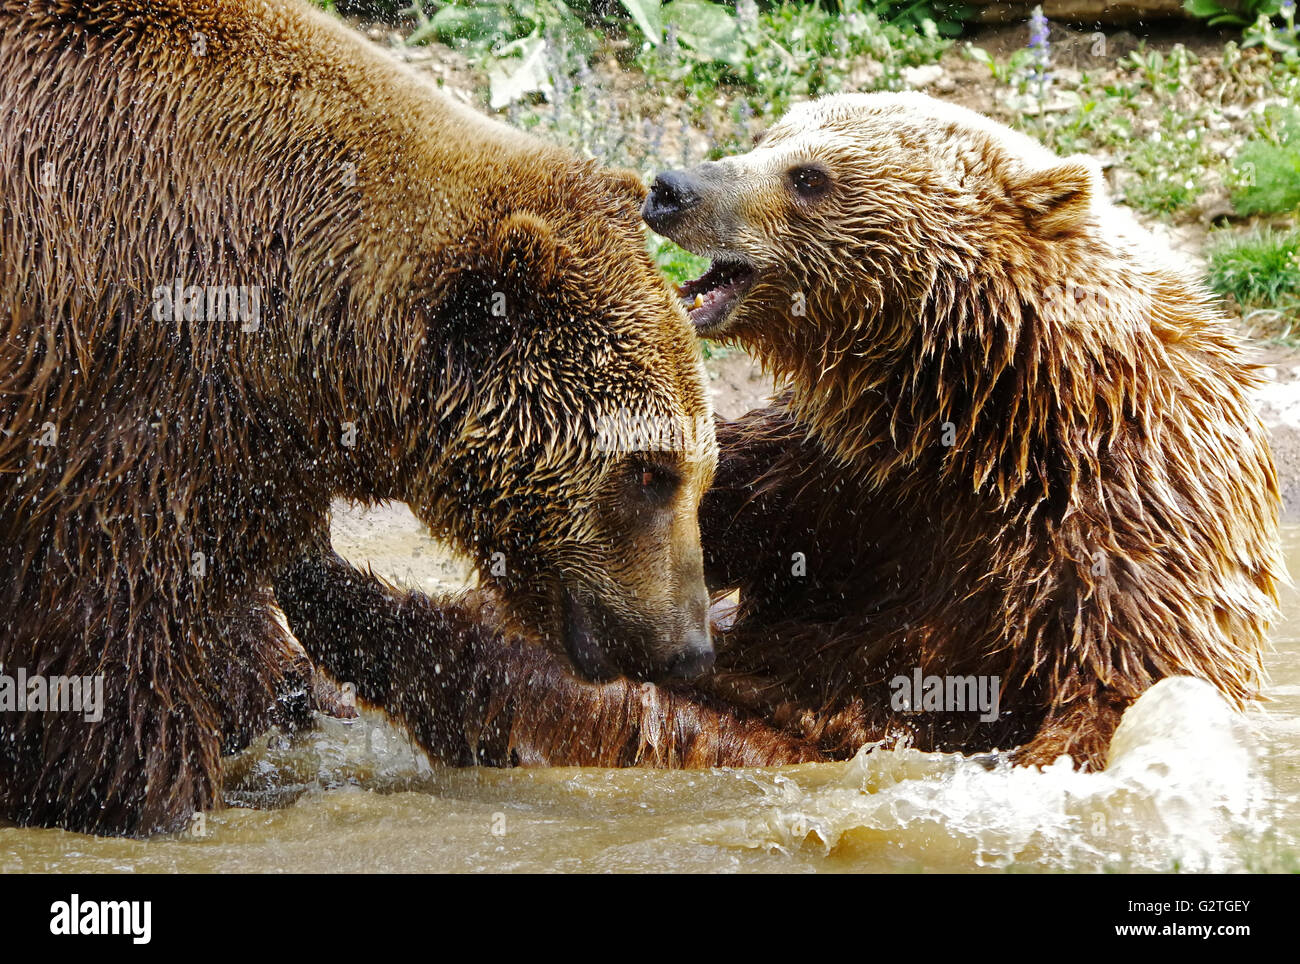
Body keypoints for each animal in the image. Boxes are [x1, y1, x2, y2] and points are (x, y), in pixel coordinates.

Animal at [0, 0, 717, 836]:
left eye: (700, 470)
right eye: (648, 471)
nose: (690, 648)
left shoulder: (237, 448)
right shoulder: (112, 393)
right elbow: (108, 640)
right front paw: (157, 796)